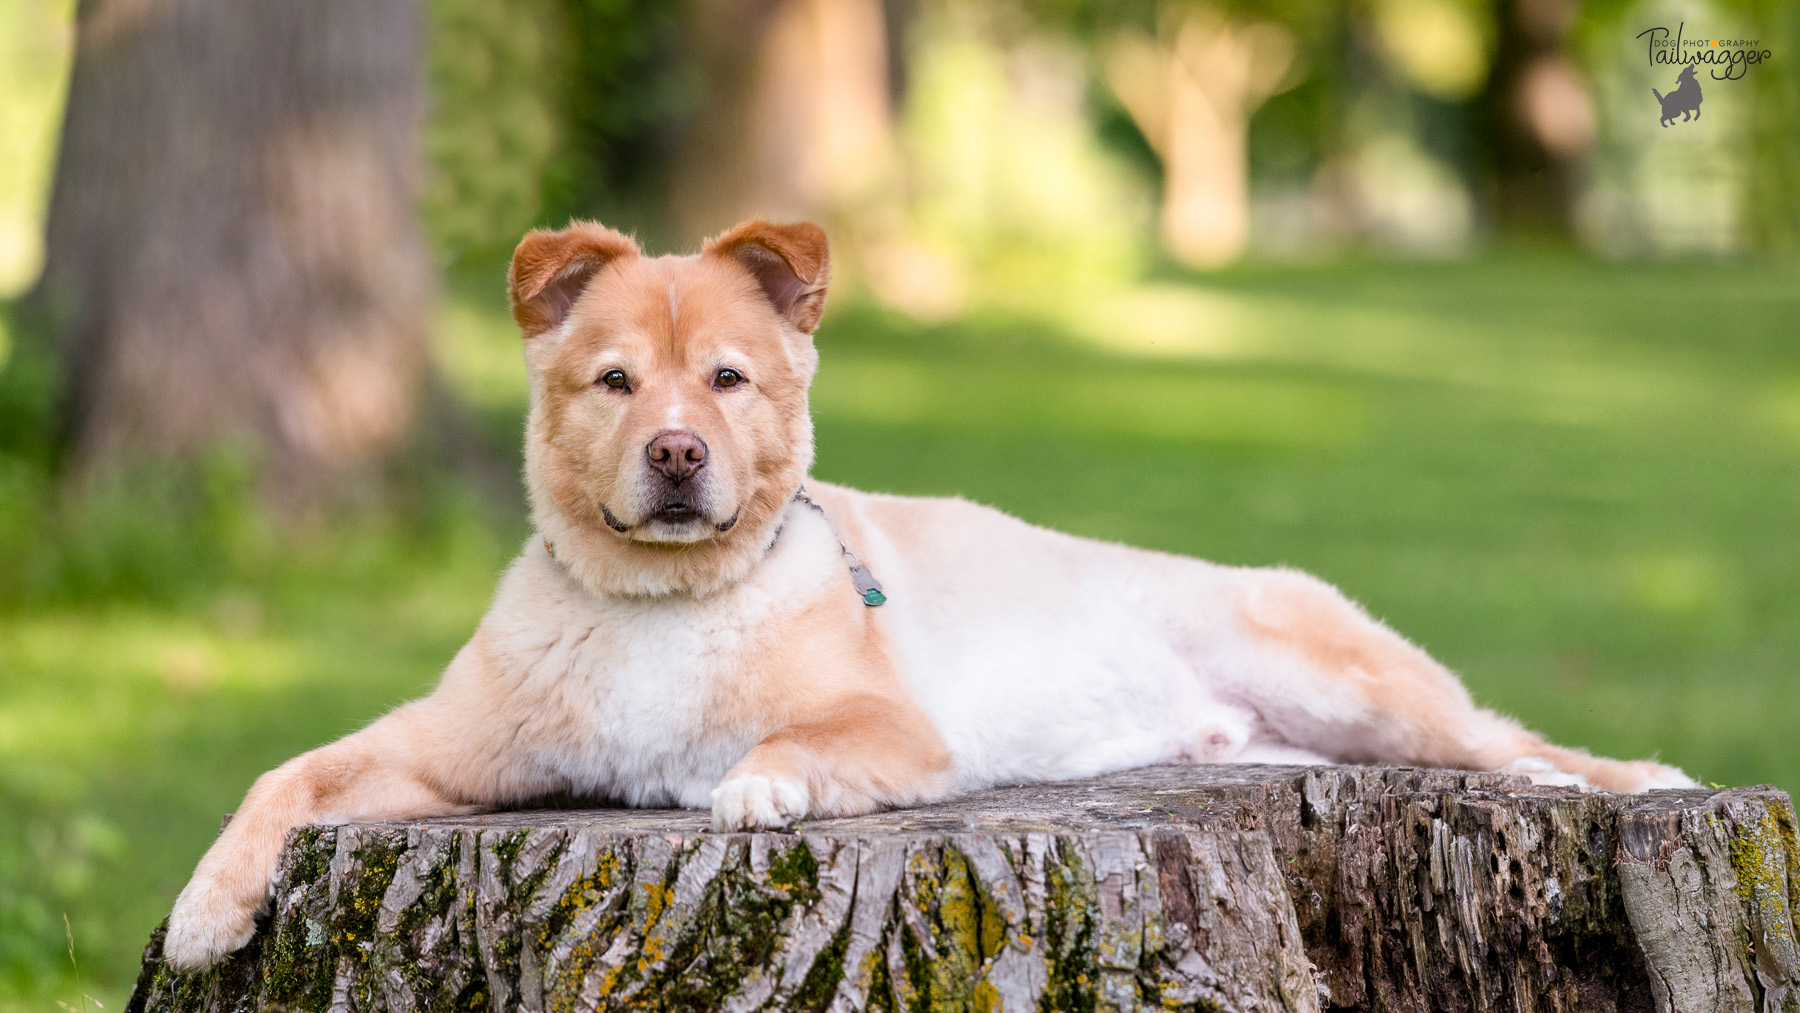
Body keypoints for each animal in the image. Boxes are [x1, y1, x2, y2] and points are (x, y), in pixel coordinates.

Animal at [162, 217, 1692, 971]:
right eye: (614, 381)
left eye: (727, 379)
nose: (677, 452)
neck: (663, 601)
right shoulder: (449, 753)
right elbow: (286, 775)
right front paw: (204, 911)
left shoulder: (898, 731)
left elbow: (790, 742)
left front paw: (760, 788)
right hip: (1292, 737)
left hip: (1354, 682)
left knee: (1507, 740)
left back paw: (1607, 779)